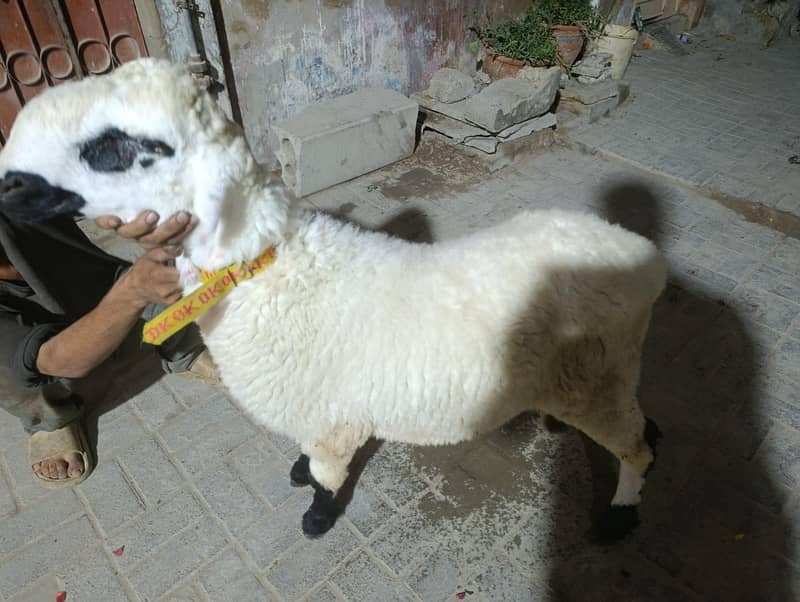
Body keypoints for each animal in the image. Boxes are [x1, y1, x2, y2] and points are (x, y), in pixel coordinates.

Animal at [0, 59, 667, 540]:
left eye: (115, 145)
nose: (7, 185)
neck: (275, 270)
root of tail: (645, 258)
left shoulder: (331, 416)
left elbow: (326, 474)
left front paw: (316, 518)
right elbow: (306, 456)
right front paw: (297, 473)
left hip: (596, 379)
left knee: (633, 446)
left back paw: (622, 513)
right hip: (603, 371)